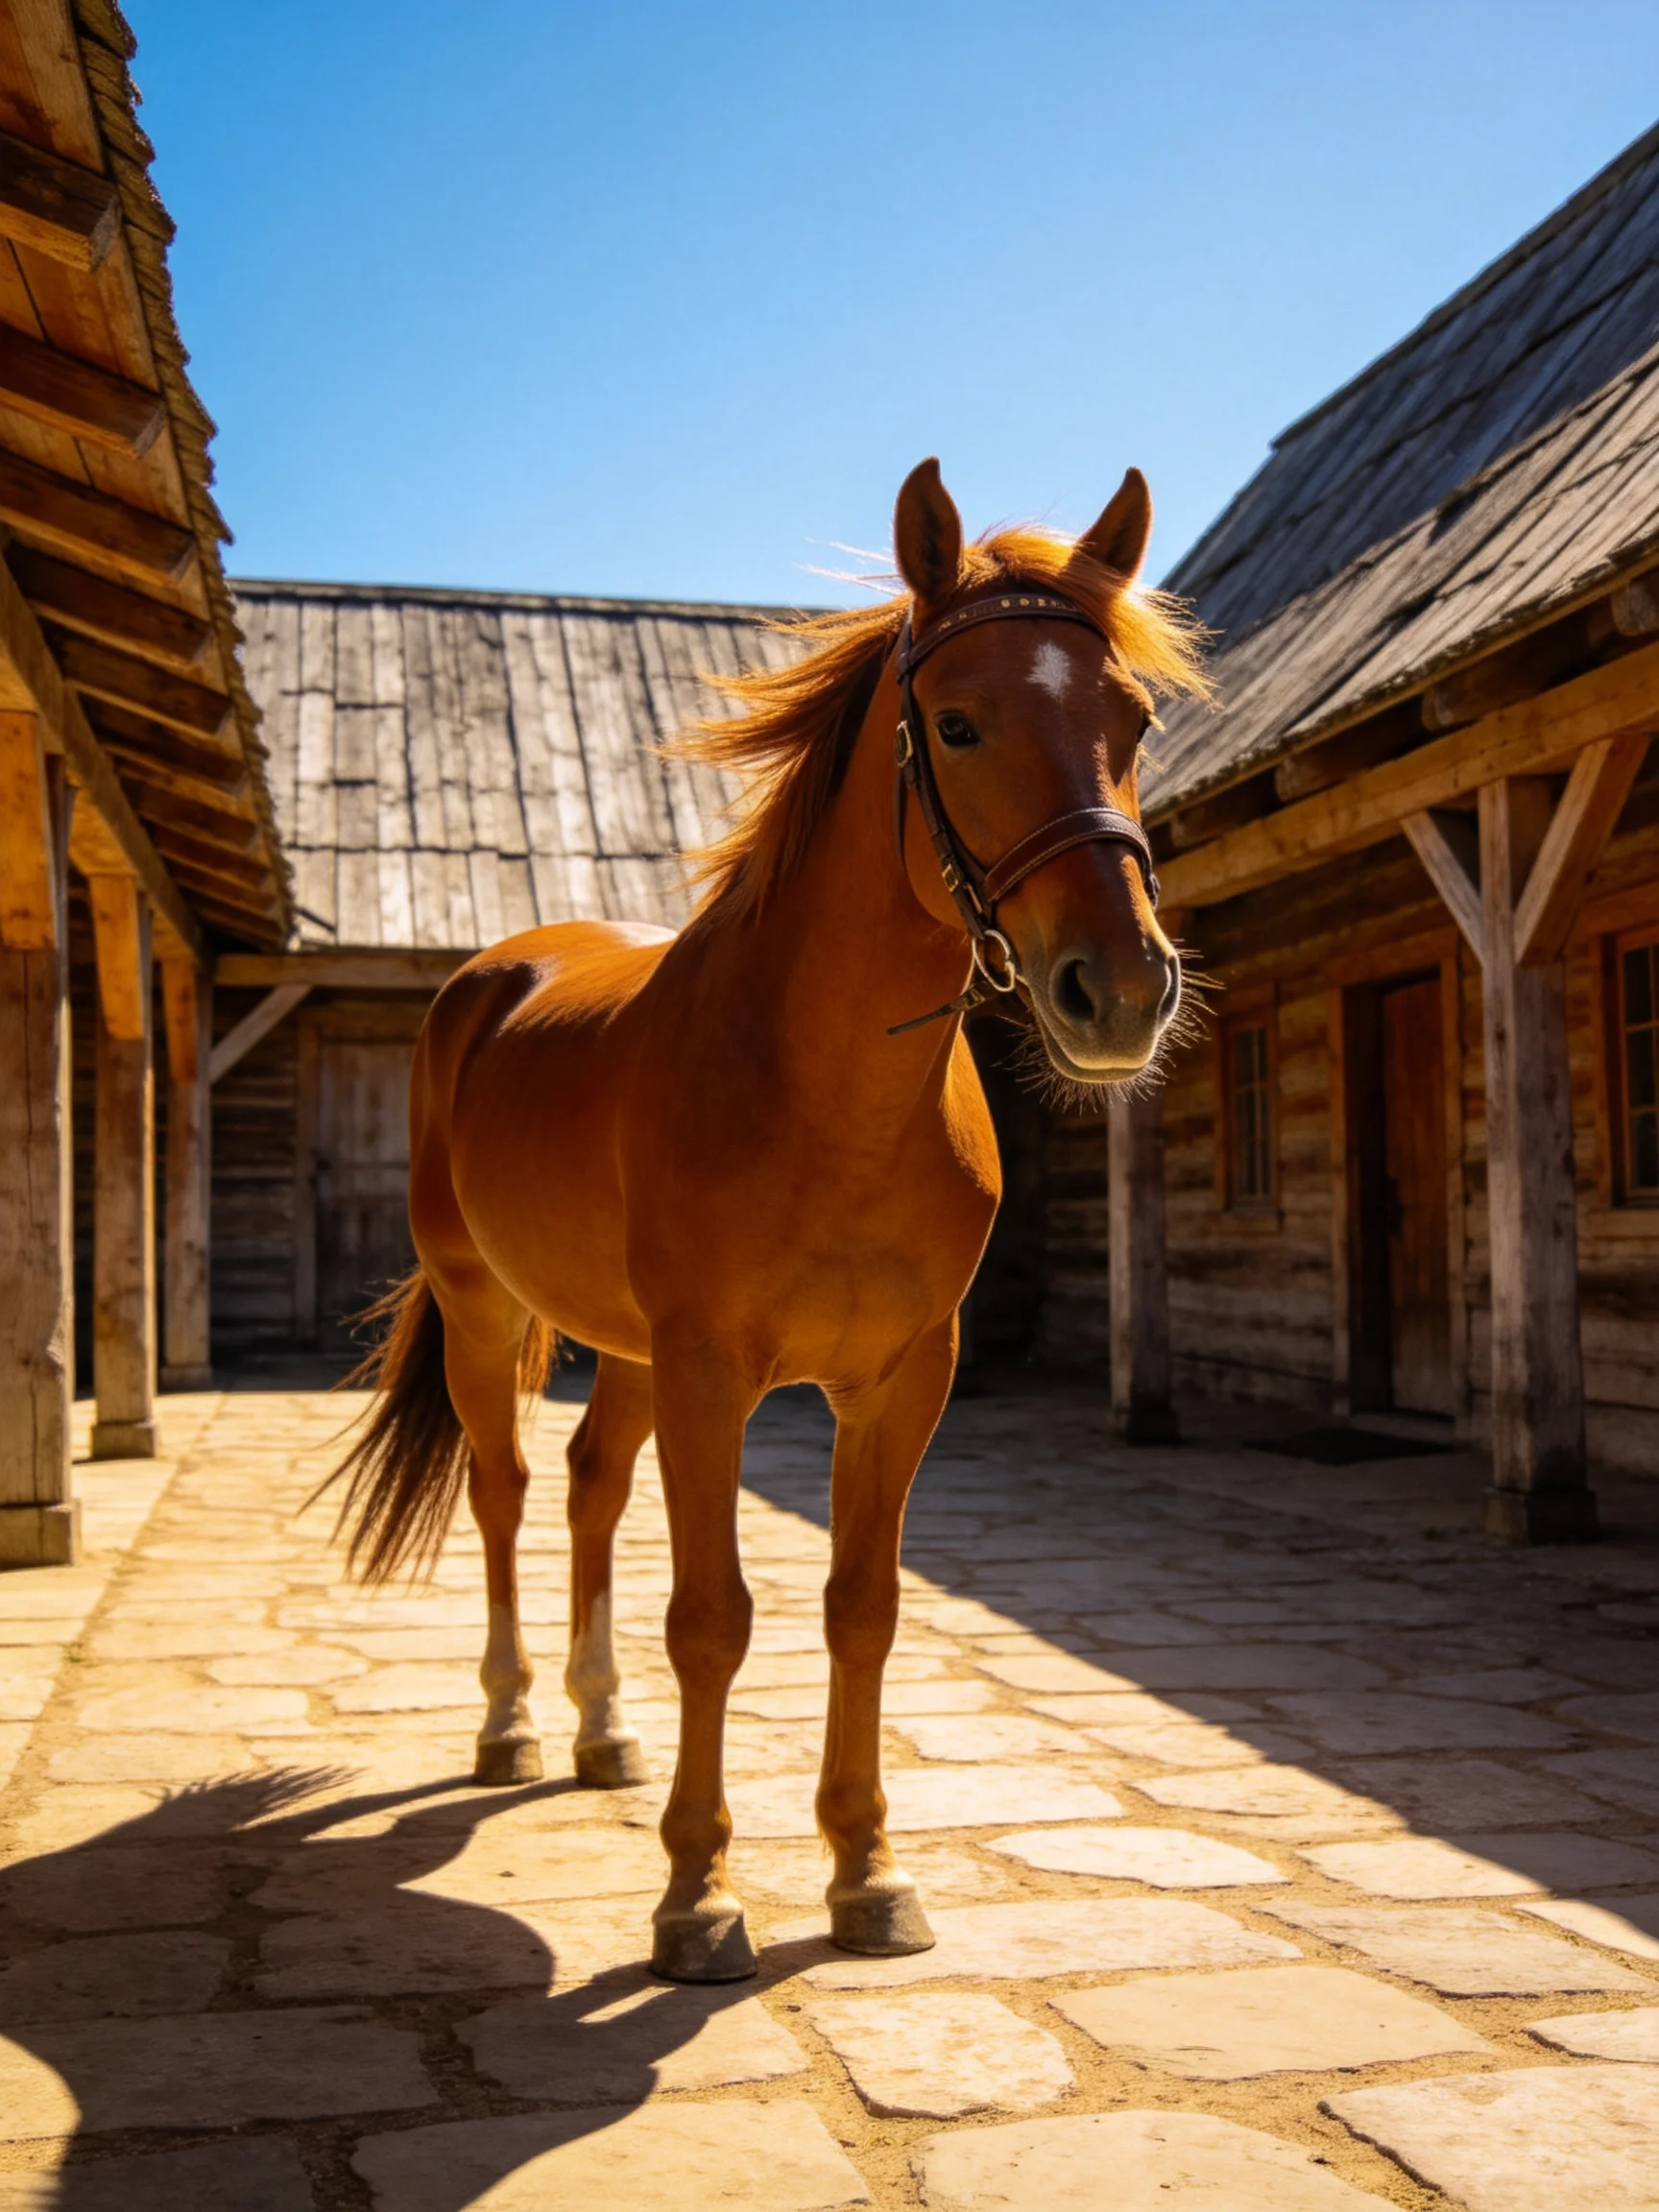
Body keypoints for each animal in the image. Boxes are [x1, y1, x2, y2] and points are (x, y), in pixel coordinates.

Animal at [324, 458, 1206, 1982]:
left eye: (1133, 721)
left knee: (588, 1490)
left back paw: (600, 1731)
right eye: (958, 722)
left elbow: (862, 1608)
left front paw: (867, 1874)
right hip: (495, 1316)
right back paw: (510, 1724)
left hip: (619, 1350)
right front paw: (697, 1896)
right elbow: (714, 1620)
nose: (1122, 992)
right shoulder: (709, 1374)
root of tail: (488, 981)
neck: (825, 1089)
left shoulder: (903, 1379)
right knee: (507, 1493)